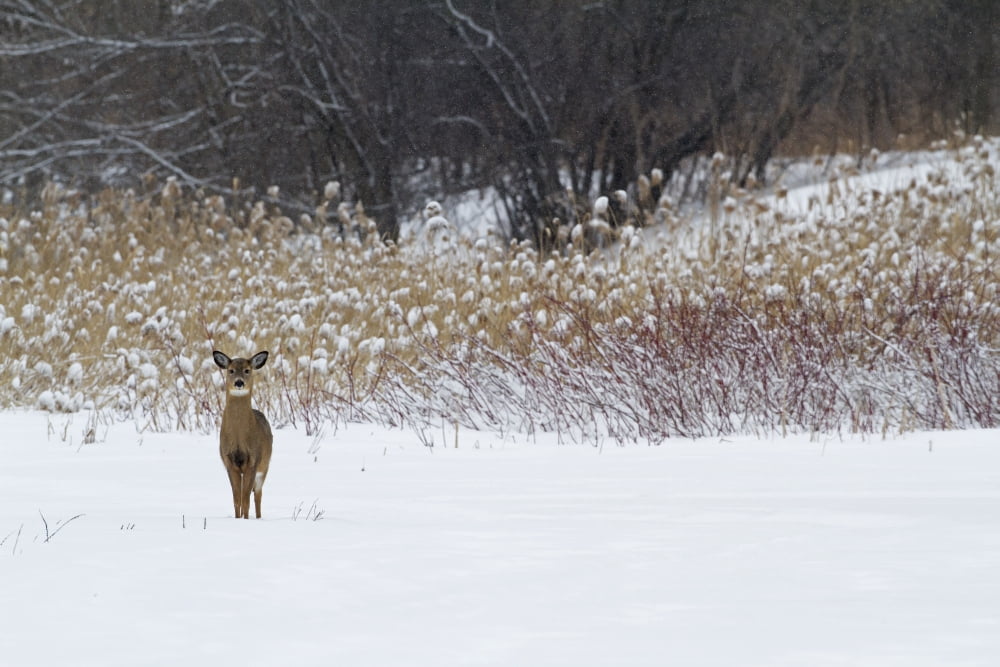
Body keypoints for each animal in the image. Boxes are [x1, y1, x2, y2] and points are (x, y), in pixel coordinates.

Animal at [213, 350, 273, 519]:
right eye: (231, 370)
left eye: (247, 370)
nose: (239, 383)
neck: (239, 437)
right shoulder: (229, 461)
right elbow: (237, 499)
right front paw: (237, 519)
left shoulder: (253, 460)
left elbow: (246, 499)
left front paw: (245, 520)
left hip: (264, 466)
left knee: (258, 495)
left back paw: (258, 518)